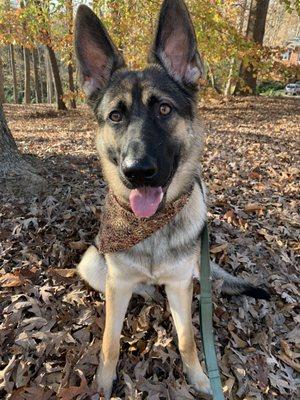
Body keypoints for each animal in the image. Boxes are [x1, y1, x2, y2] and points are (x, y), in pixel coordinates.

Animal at [73, 1, 270, 398]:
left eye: (164, 109)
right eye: (115, 116)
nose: (137, 171)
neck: (150, 227)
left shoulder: (180, 287)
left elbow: (187, 340)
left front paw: (199, 377)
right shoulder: (117, 286)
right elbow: (109, 342)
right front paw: (103, 383)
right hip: (92, 264)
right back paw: (147, 292)